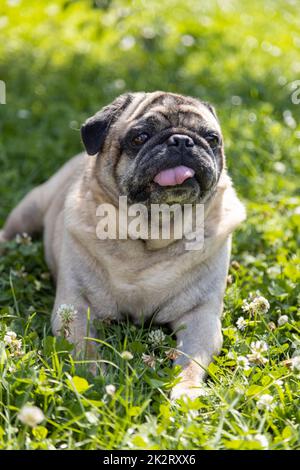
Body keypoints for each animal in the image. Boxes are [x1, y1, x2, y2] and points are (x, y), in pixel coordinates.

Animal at [0, 92, 246, 400]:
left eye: (211, 138)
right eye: (140, 137)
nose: (181, 140)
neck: (152, 233)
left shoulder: (201, 317)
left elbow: (191, 361)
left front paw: (185, 391)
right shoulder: (76, 309)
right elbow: (88, 352)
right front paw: (97, 382)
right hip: (29, 211)